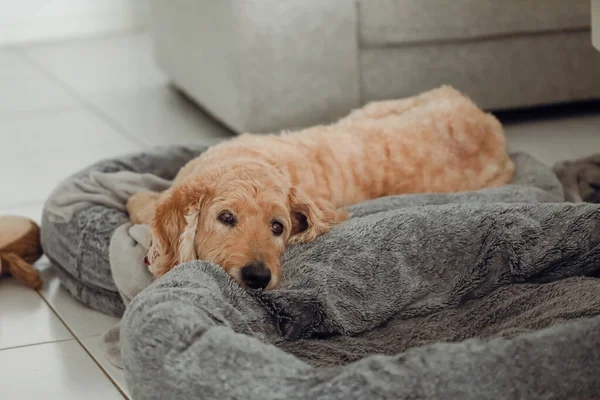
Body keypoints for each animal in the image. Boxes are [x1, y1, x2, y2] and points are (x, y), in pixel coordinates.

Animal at [129, 85, 512, 290]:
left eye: (278, 227)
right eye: (225, 217)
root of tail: (486, 120)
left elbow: (140, 202)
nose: (258, 277)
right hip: (370, 110)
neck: (245, 160)